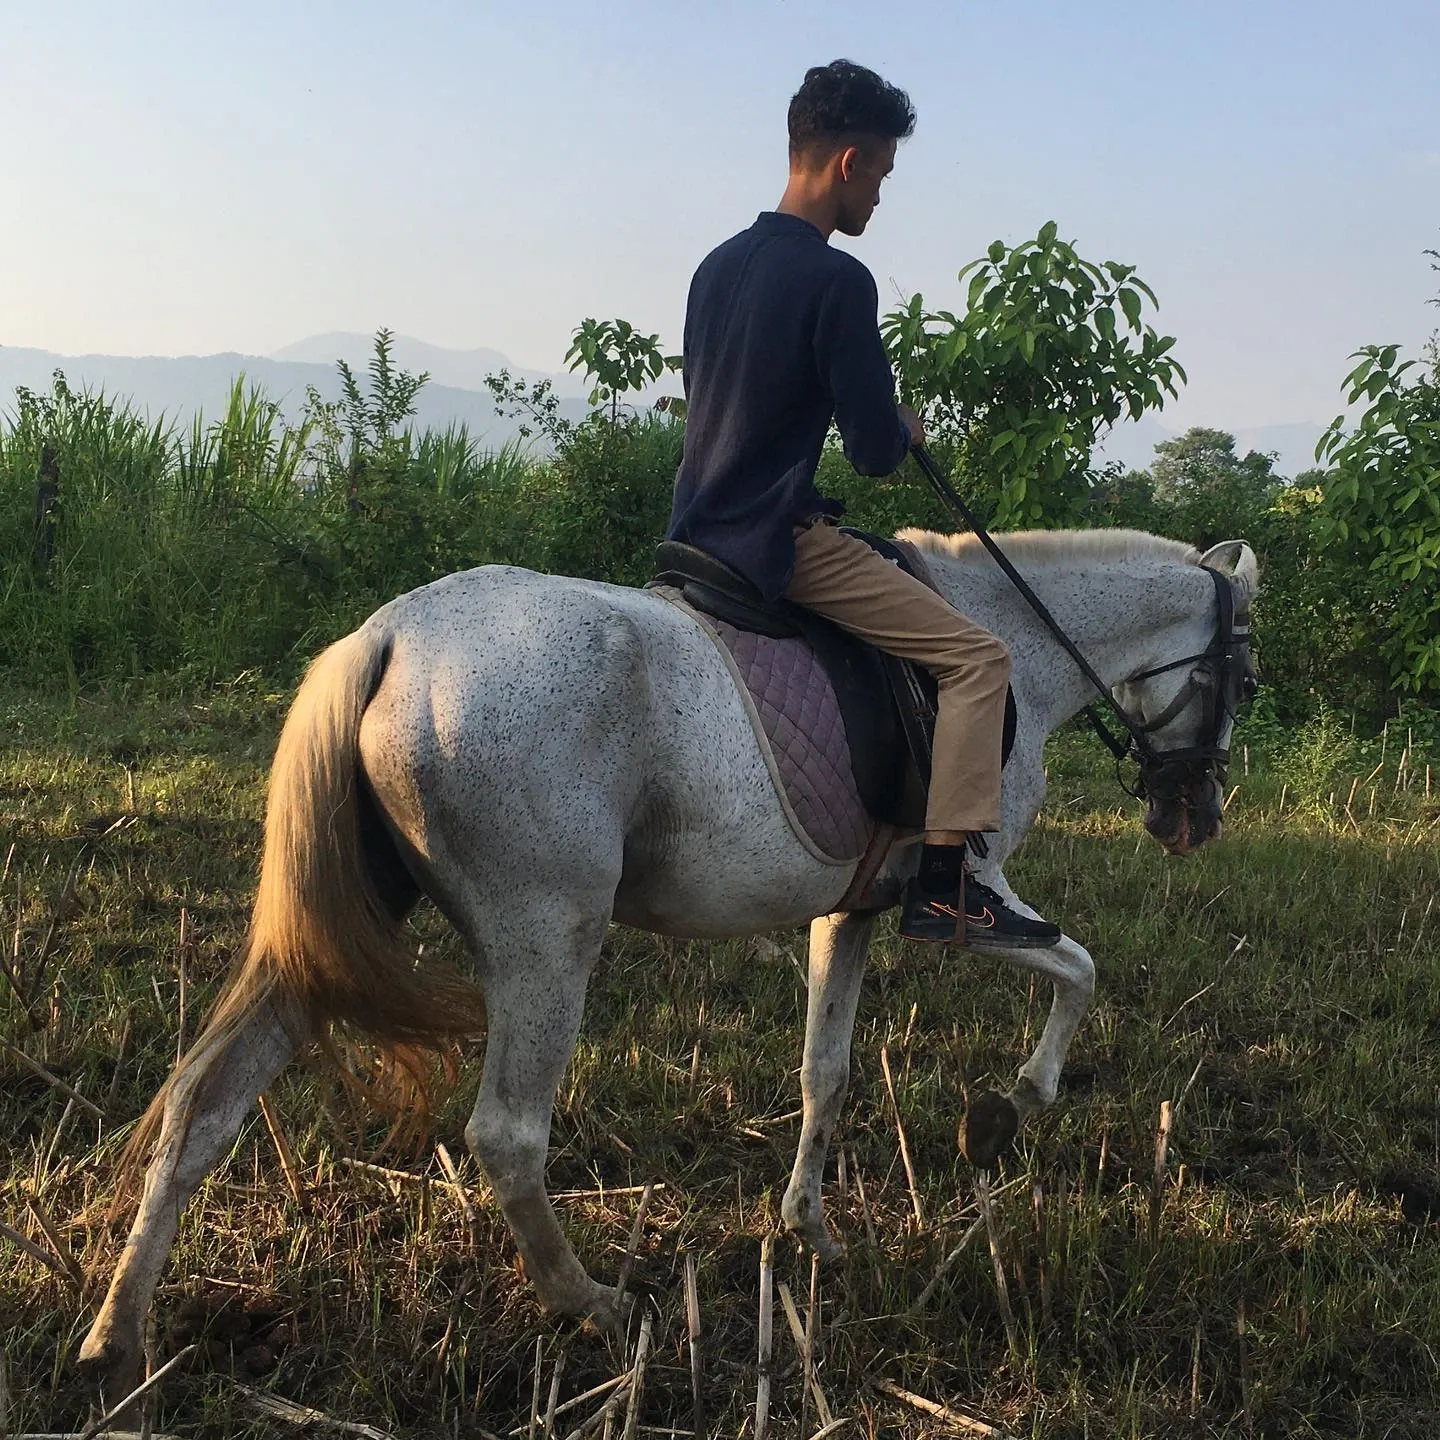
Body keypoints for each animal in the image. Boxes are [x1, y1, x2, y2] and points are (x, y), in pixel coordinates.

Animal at [78, 527, 1259, 1396]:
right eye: (1242, 675)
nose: (1193, 819)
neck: (1007, 635)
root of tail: (392, 635)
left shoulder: (847, 916)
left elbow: (826, 1072)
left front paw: (810, 1229)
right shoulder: (976, 893)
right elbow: (1081, 971)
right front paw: (1009, 1107)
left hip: (335, 939)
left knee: (206, 1099)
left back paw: (117, 1335)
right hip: (548, 939)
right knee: (507, 1135)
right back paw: (593, 1304)